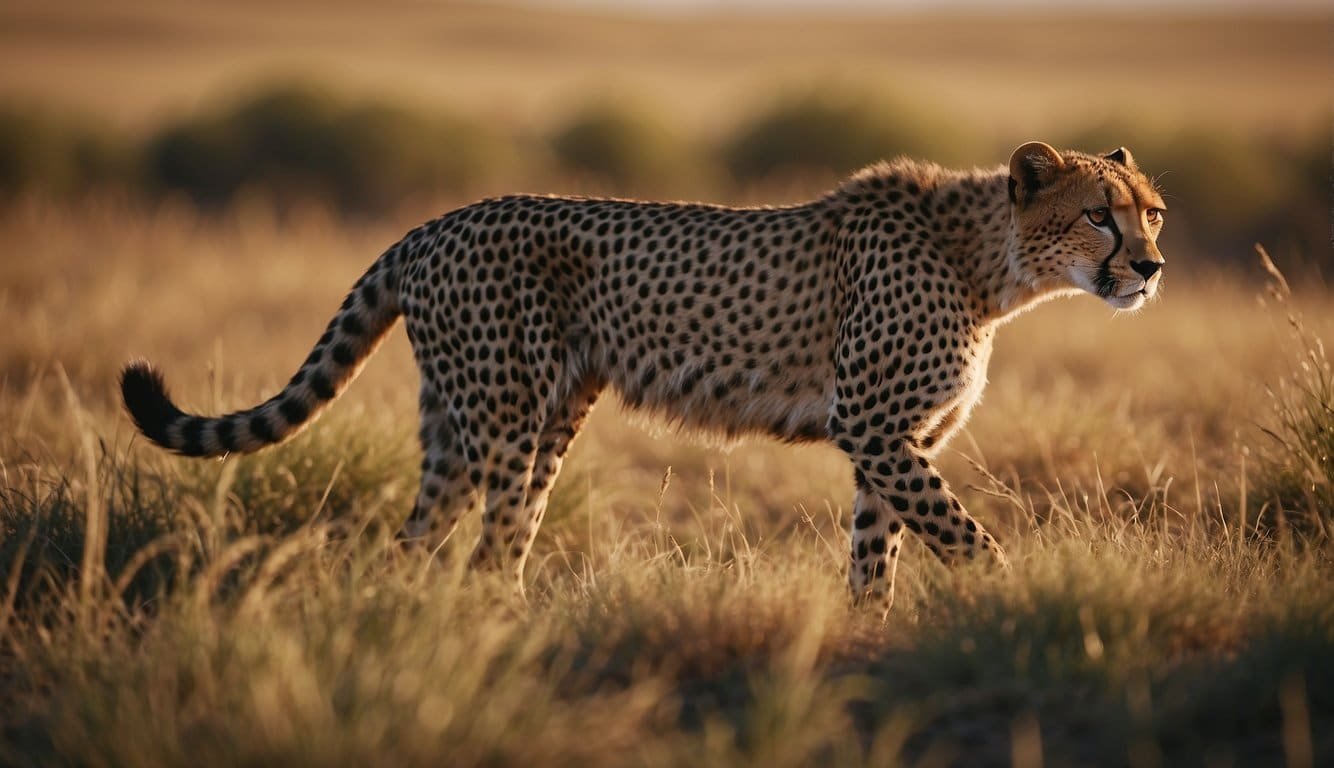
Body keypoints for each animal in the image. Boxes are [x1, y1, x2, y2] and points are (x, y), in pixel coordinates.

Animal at [125, 141, 1168, 616]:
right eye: (1099, 215)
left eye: (1151, 211)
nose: (1152, 267)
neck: (992, 264)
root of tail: (432, 224)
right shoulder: (875, 428)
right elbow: (963, 536)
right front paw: (1023, 596)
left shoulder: (892, 444)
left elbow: (880, 554)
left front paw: (869, 632)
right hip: (504, 417)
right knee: (490, 540)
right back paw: (501, 630)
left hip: (506, 422)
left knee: (431, 537)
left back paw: (433, 622)